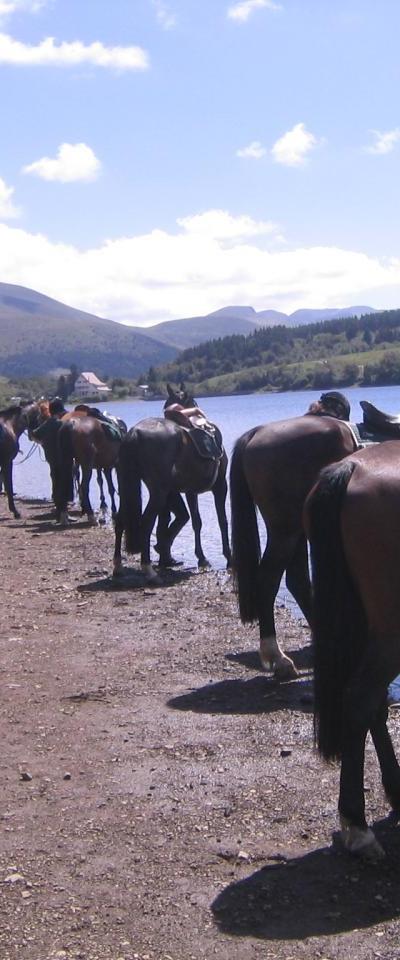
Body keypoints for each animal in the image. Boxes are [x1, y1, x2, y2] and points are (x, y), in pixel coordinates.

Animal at [114, 384, 230, 576]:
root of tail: (134, 434)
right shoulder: (220, 485)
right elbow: (222, 521)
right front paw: (229, 556)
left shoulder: (190, 491)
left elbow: (195, 522)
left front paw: (200, 558)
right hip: (158, 494)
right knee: (147, 522)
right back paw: (148, 569)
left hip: (128, 488)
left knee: (121, 520)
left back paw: (119, 566)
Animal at [230, 392, 358, 684]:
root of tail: (255, 434)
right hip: (285, 531)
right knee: (268, 579)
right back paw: (278, 658)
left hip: (296, 531)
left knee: (297, 581)